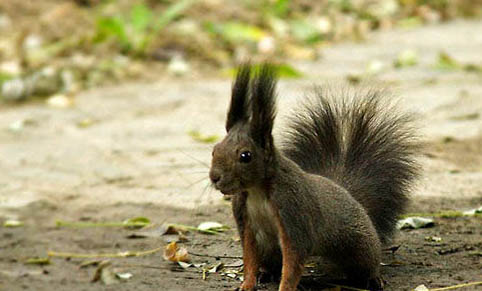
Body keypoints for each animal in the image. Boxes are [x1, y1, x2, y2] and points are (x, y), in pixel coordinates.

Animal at [209, 64, 420, 291]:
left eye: (245, 156)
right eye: (214, 149)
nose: (214, 177)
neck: (257, 190)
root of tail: (347, 193)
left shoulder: (294, 214)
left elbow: (293, 262)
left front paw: (285, 288)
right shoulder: (245, 221)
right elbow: (250, 258)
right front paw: (247, 285)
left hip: (360, 245)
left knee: (367, 262)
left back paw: (373, 279)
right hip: (269, 250)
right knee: (270, 262)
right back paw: (267, 273)